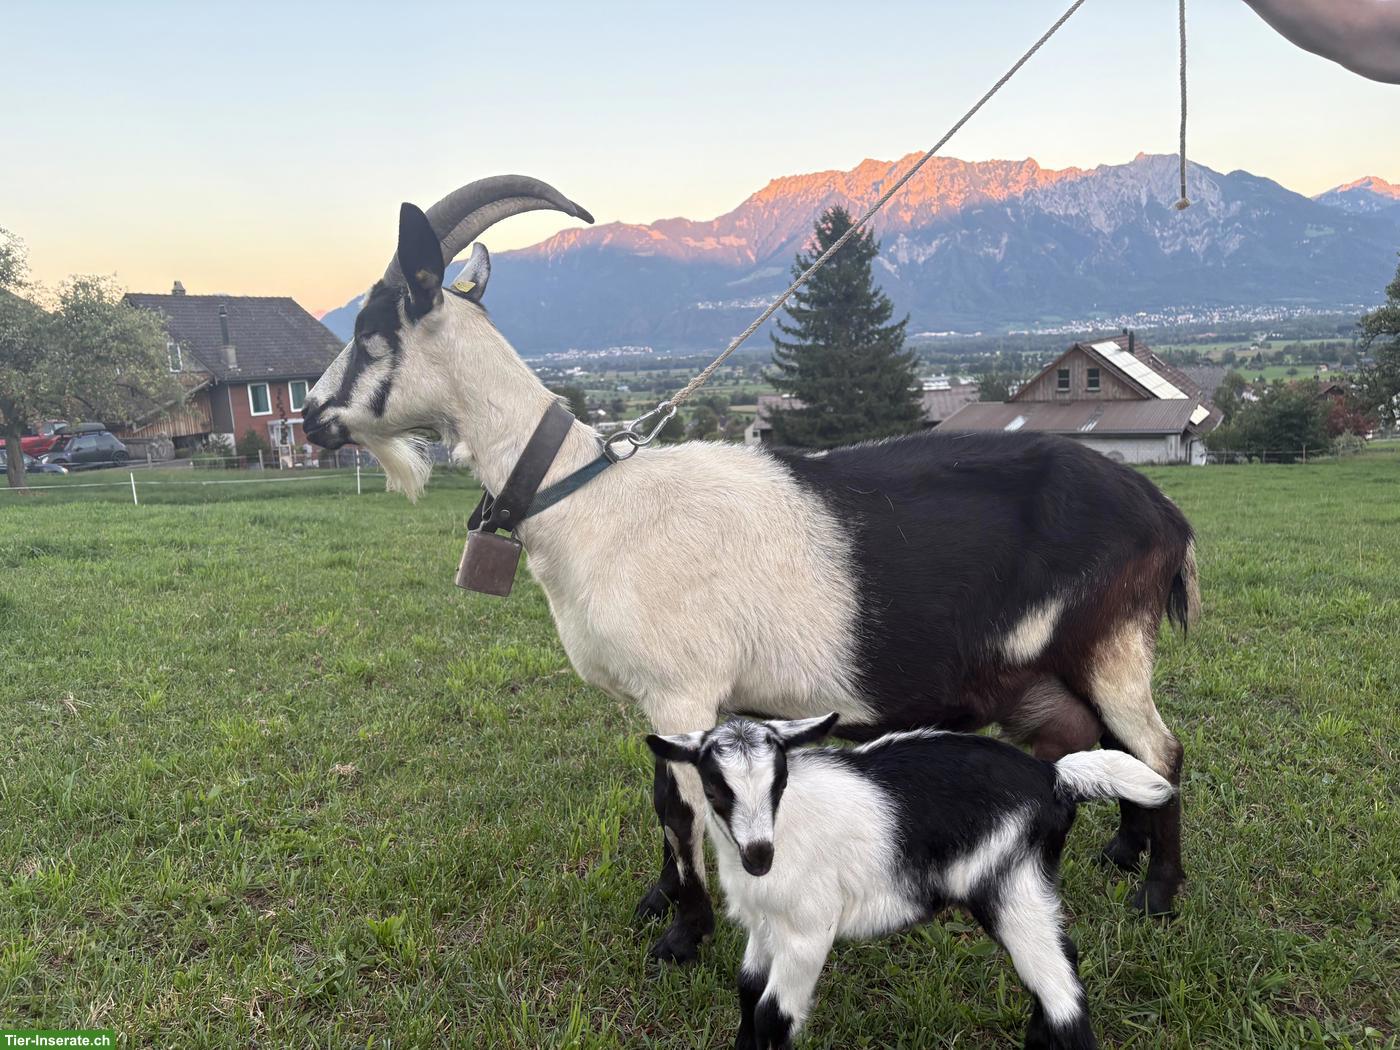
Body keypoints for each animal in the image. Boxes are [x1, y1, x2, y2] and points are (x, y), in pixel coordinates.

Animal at [303, 179, 1200, 964]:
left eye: (373, 329)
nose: (310, 416)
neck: (591, 501)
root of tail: (1165, 516)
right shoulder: (663, 700)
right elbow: (661, 794)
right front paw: (661, 901)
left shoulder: (683, 689)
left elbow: (679, 806)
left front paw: (681, 935)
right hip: (1052, 667)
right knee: (1092, 739)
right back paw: (1117, 852)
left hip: (1112, 643)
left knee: (1158, 748)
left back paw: (1157, 894)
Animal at [647, 715, 1175, 1049]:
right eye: (714, 789)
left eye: (779, 783)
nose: (759, 856)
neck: (786, 826)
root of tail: (1053, 776)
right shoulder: (764, 926)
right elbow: (747, 992)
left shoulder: (807, 929)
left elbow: (772, 1016)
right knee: (1062, 963)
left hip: (1008, 880)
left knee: (1063, 993)